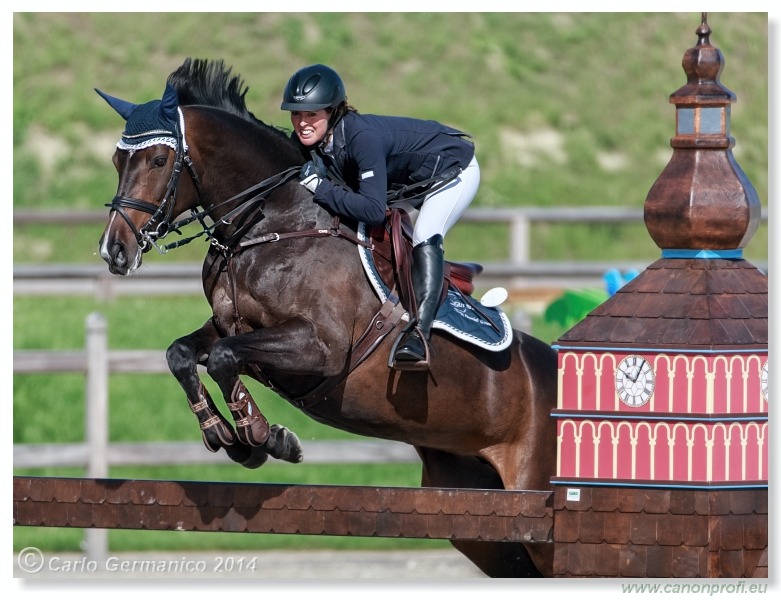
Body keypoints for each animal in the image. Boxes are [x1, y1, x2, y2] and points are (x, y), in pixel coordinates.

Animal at [96, 59, 560, 576]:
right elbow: (184, 355)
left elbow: (222, 358)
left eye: (159, 161)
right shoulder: (231, 328)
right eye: (117, 161)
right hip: (480, 516)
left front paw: (265, 436)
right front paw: (226, 435)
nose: (115, 251)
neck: (269, 225)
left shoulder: (319, 348)